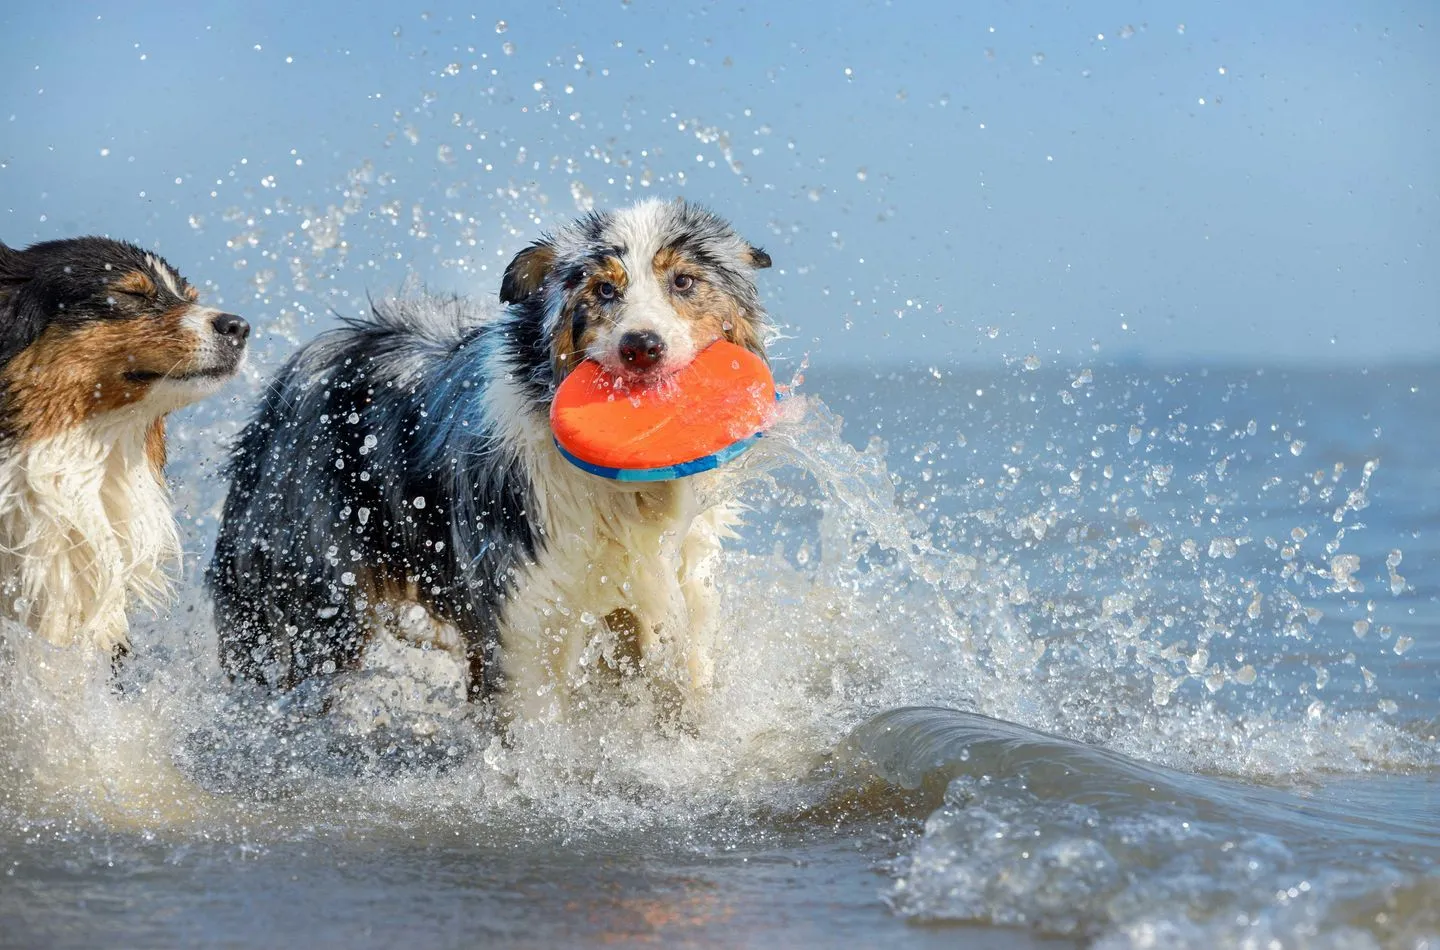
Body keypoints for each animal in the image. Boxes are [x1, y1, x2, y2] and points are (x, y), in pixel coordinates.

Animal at [208, 198, 771, 719]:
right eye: (604, 289)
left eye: (683, 281)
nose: (641, 346)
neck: (627, 491)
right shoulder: (522, 603)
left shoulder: (679, 581)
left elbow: (684, 678)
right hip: (322, 585)